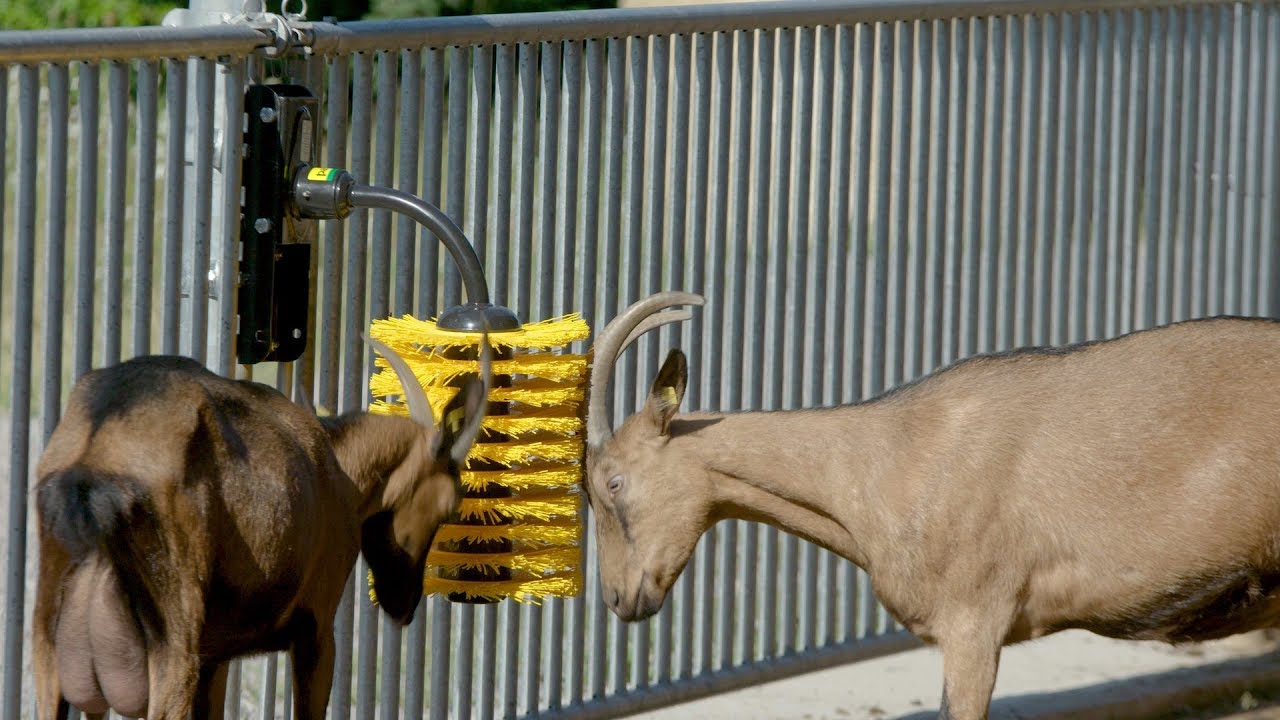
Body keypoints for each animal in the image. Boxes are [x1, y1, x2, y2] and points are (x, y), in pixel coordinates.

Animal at [32, 337, 488, 720]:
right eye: (451, 503)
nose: (404, 603)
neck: (337, 466)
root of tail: (94, 465)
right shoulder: (316, 625)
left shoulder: (213, 657)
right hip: (171, 656)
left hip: (53, 665)